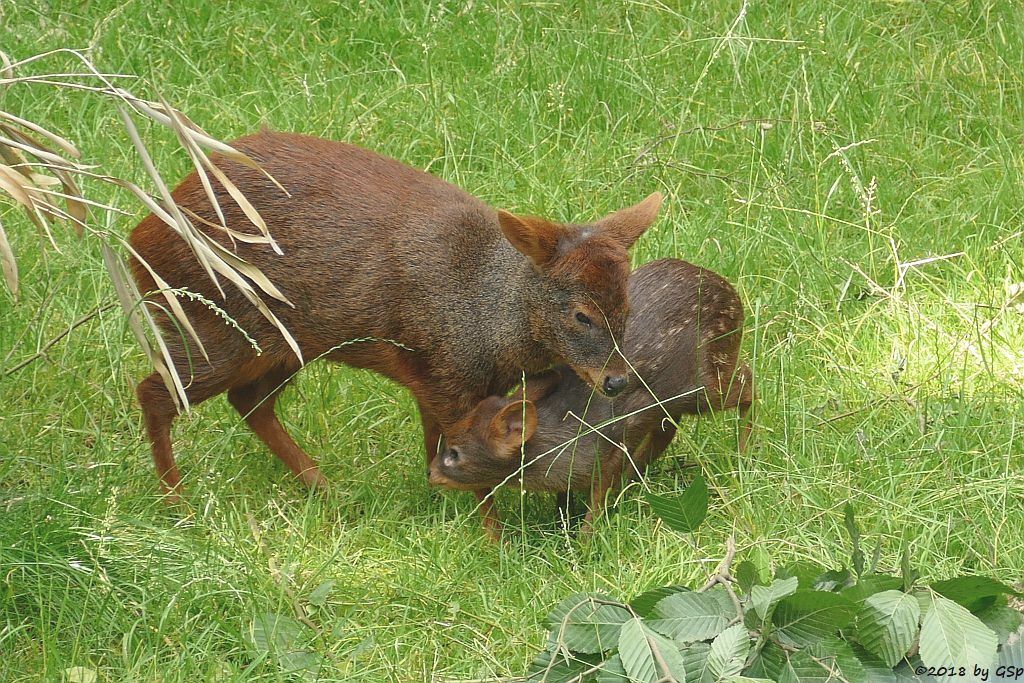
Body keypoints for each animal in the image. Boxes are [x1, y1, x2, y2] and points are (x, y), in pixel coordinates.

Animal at [128, 131, 659, 532]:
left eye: (626, 303)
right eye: (581, 314)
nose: (617, 380)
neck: (488, 319)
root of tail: (136, 243)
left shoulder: (436, 380)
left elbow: (435, 453)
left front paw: (438, 508)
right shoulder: (445, 375)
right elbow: (468, 467)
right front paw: (492, 537)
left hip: (286, 344)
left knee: (249, 402)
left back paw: (325, 489)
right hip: (211, 327)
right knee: (155, 391)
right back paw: (177, 503)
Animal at [423, 259, 753, 536]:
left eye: (455, 452)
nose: (430, 472)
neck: (563, 434)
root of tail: (732, 294)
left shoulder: (614, 443)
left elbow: (598, 500)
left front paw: (585, 541)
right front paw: (563, 524)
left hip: (707, 381)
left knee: (748, 380)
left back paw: (742, 455)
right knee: (669, 429)